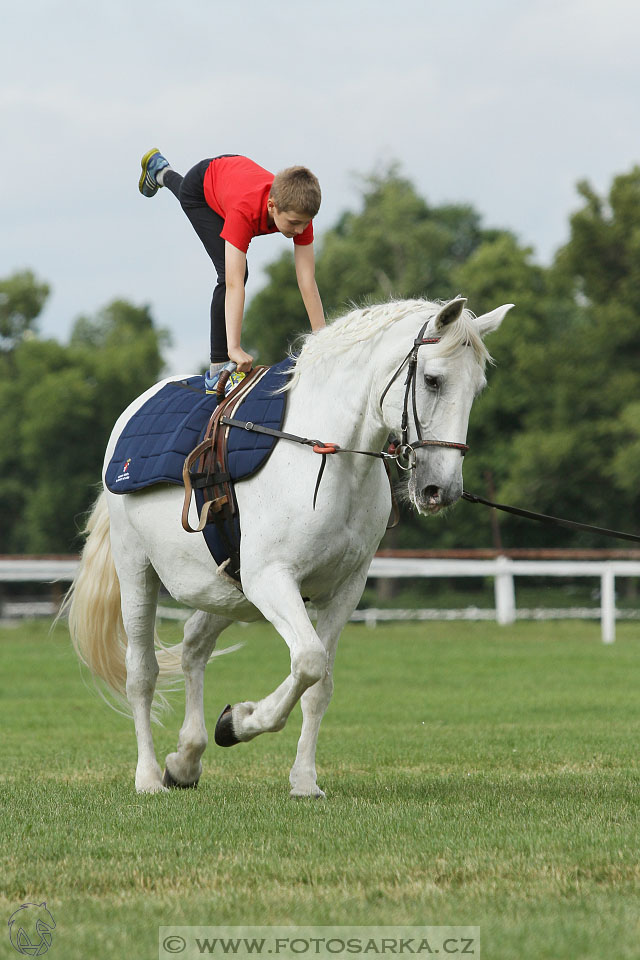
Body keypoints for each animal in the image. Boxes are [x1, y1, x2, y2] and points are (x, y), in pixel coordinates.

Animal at [66, 296, 510, 792]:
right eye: (433, 380)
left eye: (477, 388)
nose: (441, 490)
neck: (327, 458)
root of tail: (130, 415)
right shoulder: (271, 580)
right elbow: (309, 661)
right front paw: (239, 722)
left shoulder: (343, 590)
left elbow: (320, 683)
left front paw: (303, 780)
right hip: (138, 573)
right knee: (141, 673)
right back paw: (147, 776)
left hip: (228, 589)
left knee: (194, 645)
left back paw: (186, 758)